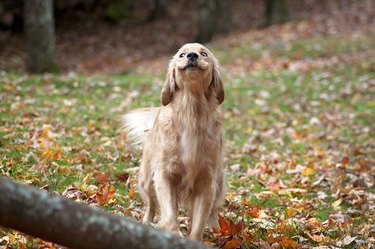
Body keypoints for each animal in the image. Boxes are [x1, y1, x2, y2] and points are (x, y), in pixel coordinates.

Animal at [122, 43, 226, 241]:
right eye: (182, 55)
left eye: (204, 53)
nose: (192, 56)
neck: (191, 112)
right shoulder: (165, 176)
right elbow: (169, 216)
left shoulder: (206, 182)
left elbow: (199, 222)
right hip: (147, 179)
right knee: (151, 205)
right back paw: (146, 223)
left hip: (218, 181)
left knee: (213, 210)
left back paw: (216, 228)